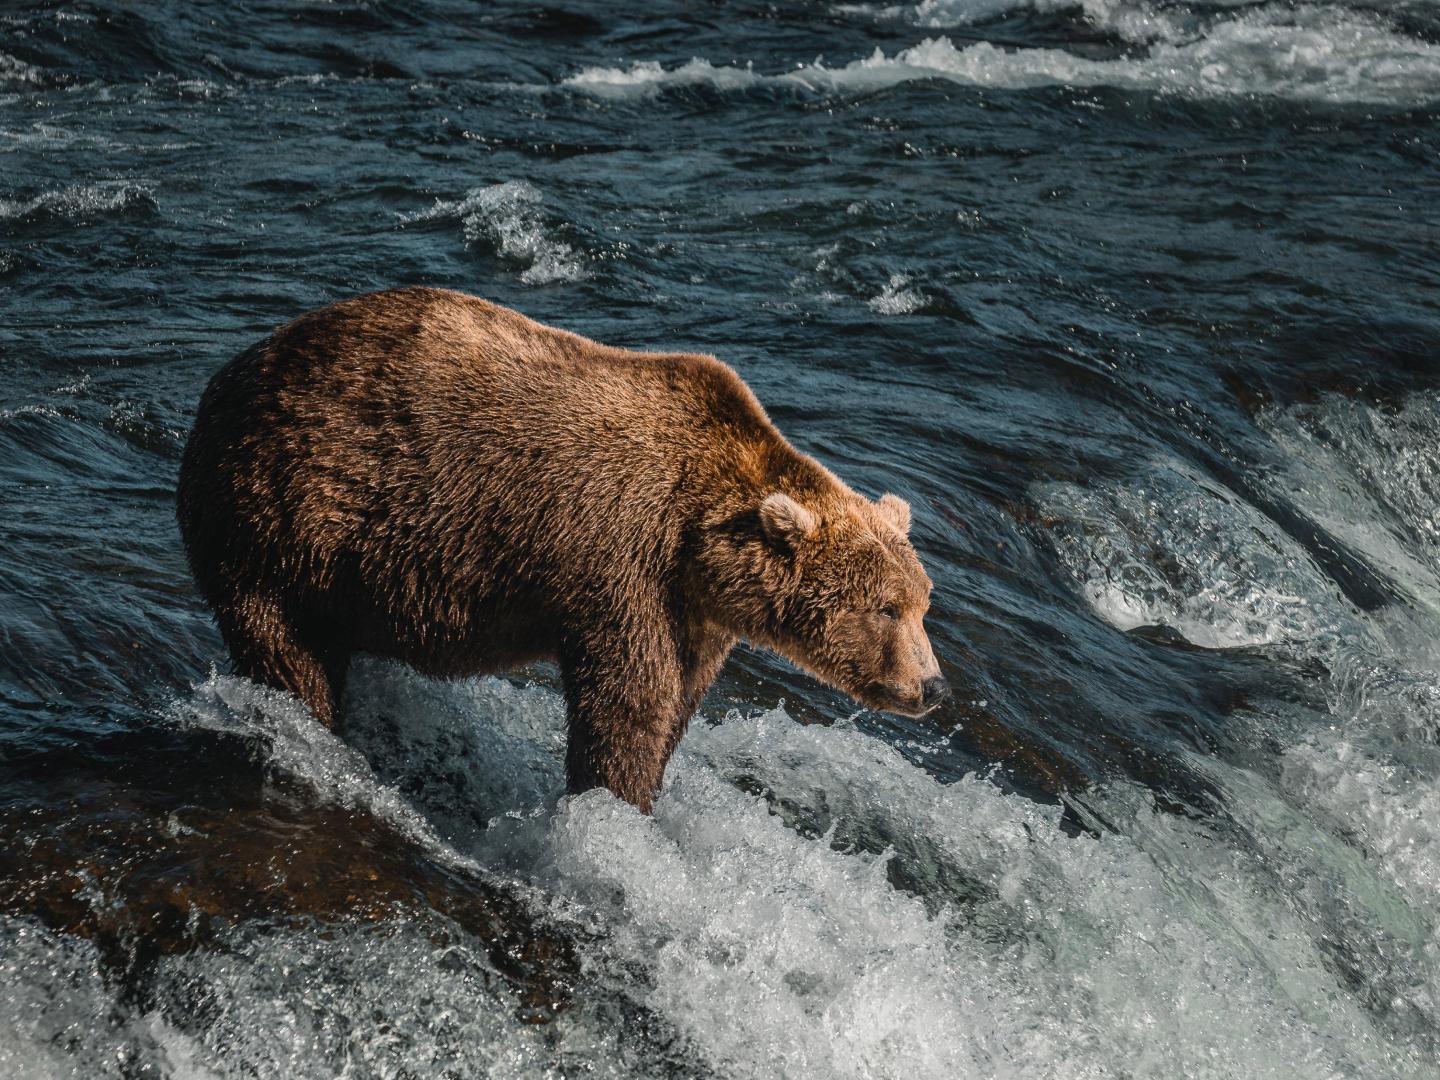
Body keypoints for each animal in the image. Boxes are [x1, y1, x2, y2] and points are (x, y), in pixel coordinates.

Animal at [177, 287, 947, 812]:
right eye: (884, 608)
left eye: (922, 605)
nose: (934, 686)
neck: (700, 545)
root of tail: (236, 368)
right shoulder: (620, 564)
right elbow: (628, 700)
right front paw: (615, 803)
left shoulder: (696, 615)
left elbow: (677, 702)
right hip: (280, 514)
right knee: (286, 648)